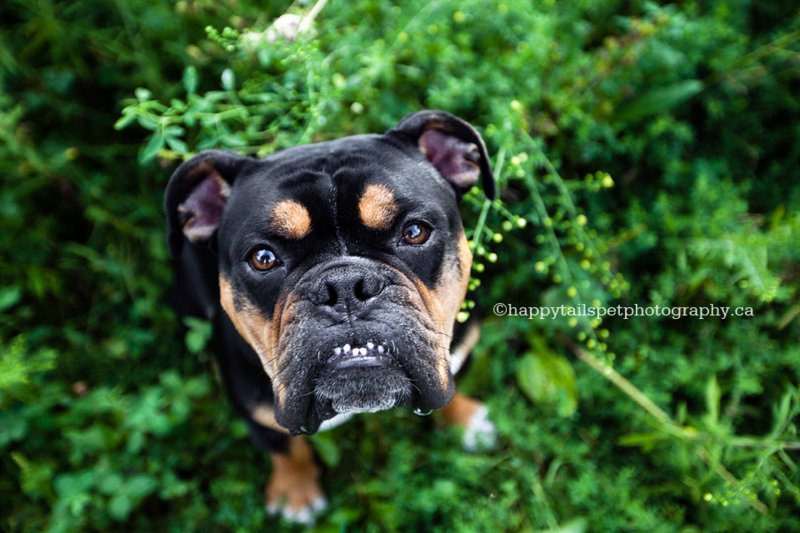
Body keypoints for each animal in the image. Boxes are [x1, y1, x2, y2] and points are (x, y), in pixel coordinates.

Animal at [166, 109, 496, 524]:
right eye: (263, 258)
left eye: (415, 232)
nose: (344, 285)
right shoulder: (254, 410)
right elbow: (285, 448)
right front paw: (295, 491)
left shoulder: (459, 353)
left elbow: (453, 392)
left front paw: (464, 422)